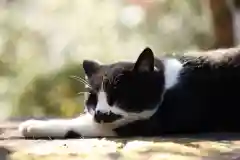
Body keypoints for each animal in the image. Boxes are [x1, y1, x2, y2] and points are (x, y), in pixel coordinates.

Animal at [18, 47, 240, 138]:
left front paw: (33, 126)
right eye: (92, 99)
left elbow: (82, 125)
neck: (166, 83)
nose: (100, 113)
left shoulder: (157, 119)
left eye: (118, 96)